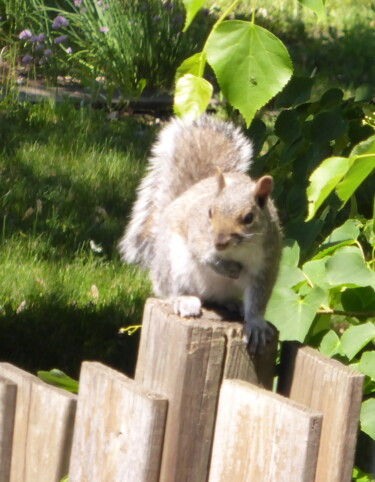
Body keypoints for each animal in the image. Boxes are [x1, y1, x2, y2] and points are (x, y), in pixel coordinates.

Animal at [119, 115, 282, 352]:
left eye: (249, 218)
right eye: (210, 211)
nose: (219, 243)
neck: (238, 248)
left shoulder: (267, 259)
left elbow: (259, 298)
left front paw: (256, 324)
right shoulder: (196, 227)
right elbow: (200, 248)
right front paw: (219, 264)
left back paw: (235, 304)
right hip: (172, 262)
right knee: (171, 289)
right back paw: (184, 299)